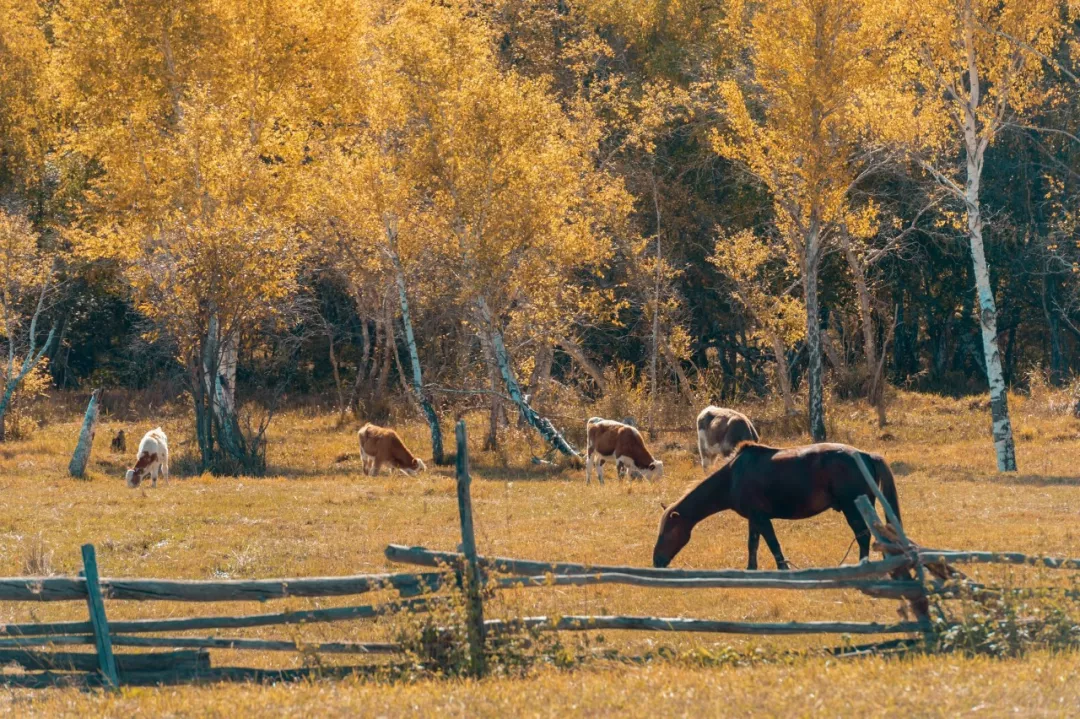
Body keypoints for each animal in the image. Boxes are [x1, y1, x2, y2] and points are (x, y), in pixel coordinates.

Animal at [652, 440, 898, 570]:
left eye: (668, 532)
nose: (656, 561)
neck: (733, 476)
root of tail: (865, 455)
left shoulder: (762, 518)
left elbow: (773, 544)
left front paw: (783, 570)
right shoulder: (754, 519)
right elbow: (753, 545)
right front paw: (751, 570)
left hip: (852, 509)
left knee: (864, 536)